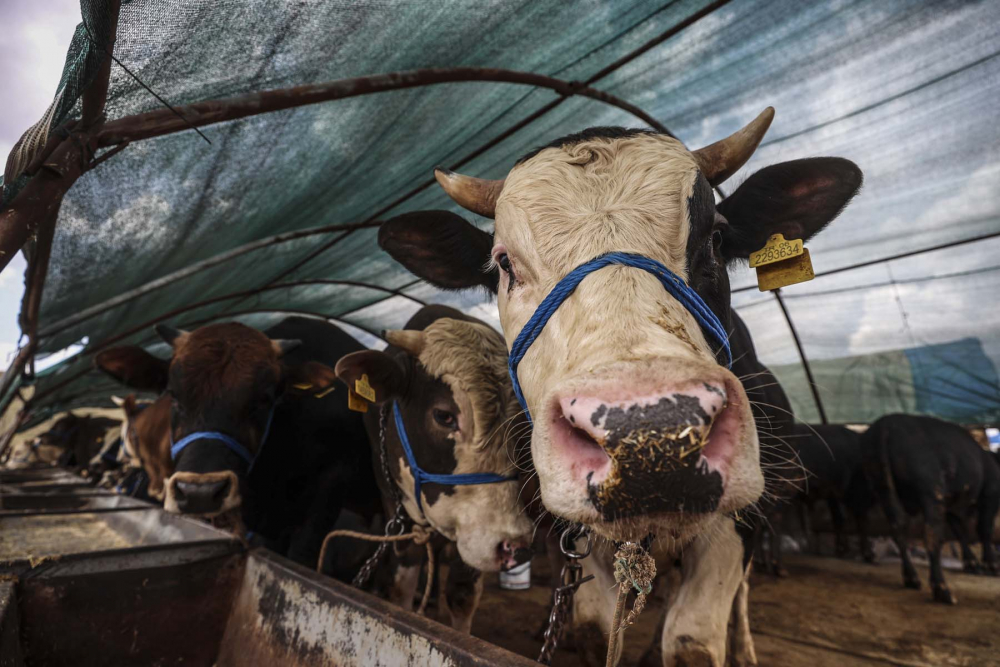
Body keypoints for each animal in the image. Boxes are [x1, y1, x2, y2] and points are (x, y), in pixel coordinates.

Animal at [334, 306, 540, 636]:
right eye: (444, 416)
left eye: (520, 423)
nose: (517, 547)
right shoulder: (399, 518)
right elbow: (401, 588)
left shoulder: (471, 535)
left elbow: (462, 594)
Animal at [376, 107, 860, 664]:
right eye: (503, 262)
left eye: (715, 237)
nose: (648, 434)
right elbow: (594, 629)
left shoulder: (736, 529)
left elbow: (691, 643)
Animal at [860, 412, 1000, 604]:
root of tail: (885, 425)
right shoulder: (990, 494)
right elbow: (983, 529)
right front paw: (990, 565)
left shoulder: (952, 506)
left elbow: (960, 532)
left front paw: (971, 563)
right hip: (931, 493)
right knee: (932, 536)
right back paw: (942, 590)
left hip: (883, 489)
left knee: (898, 529)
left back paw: (912, 578)